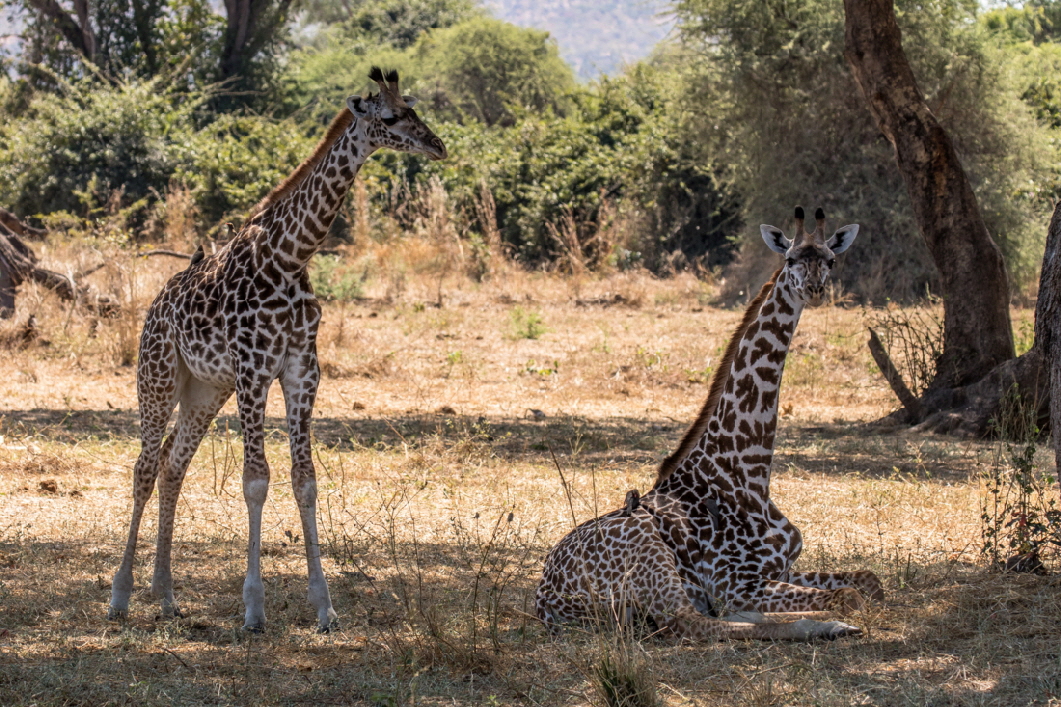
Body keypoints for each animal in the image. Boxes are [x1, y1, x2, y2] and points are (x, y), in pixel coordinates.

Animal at [110, 69, 447, 628]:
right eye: (391, 117)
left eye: (415, 110)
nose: (437, 144)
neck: (291, 256)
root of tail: (157, 302)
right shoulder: (253, 370)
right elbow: (256, 479)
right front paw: (253, 608)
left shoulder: (301, 371)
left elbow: (304, 479)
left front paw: (325, 605)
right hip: (158, 375)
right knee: (143, 467)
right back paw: (120, 596)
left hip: (204, 389)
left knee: (173, 464)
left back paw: (166, 595)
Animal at [534, 208, 882, 636]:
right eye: (790, 259)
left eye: (830, 260)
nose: (813, 289)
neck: (748, 473)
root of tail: (547, 603)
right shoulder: (736, 583)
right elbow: (849, 596)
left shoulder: (781, 569)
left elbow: (870, 581)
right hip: (648, 550)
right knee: (696, 623)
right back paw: (828, 626)